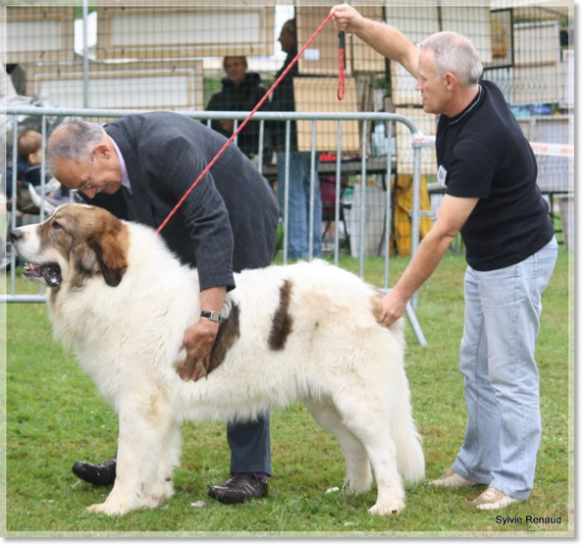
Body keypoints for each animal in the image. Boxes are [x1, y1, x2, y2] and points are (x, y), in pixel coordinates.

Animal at [10, 204, 424, 520]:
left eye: (57, 226)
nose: (13, 233)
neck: (115, 286)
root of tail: (374, 296)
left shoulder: (139, 403)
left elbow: (129, 461)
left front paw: (116, 506)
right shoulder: (160, 407)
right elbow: (158, 458)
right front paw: (152, 499)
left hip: (356, 397)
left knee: (382, 448)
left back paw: (387, 505)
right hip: (325, 403)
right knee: (355, 446)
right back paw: (352, 491)